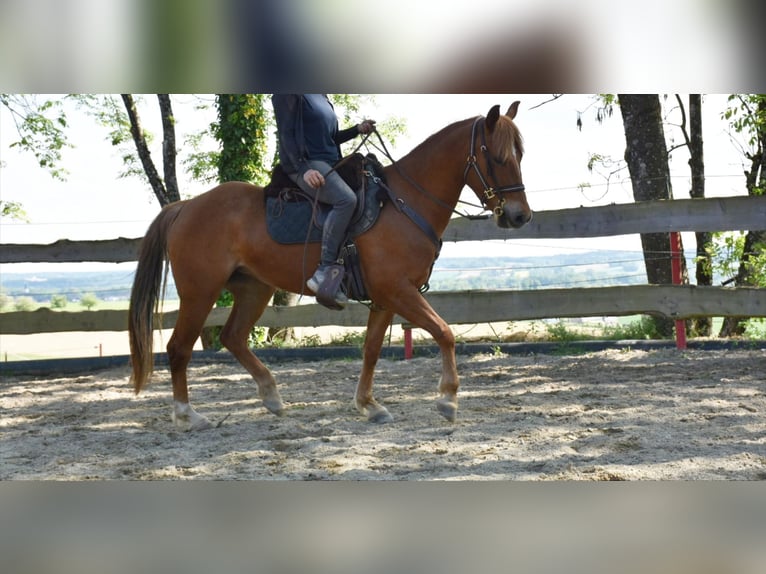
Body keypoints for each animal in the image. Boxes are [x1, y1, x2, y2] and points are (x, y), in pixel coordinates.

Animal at [128, 102, 532, 431]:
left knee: (233, 337)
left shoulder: (386, 297)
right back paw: (187, 415)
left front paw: (369, 405)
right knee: (180, 347)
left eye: (520, 154)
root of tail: (185, 207)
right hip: (200, 291)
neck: (403, 202)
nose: (519, 216)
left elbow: (371, 350)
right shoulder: (400, 291)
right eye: (496, 156)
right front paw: (447, 399)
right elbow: (445, 332)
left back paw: (272, 397)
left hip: (254, 288)